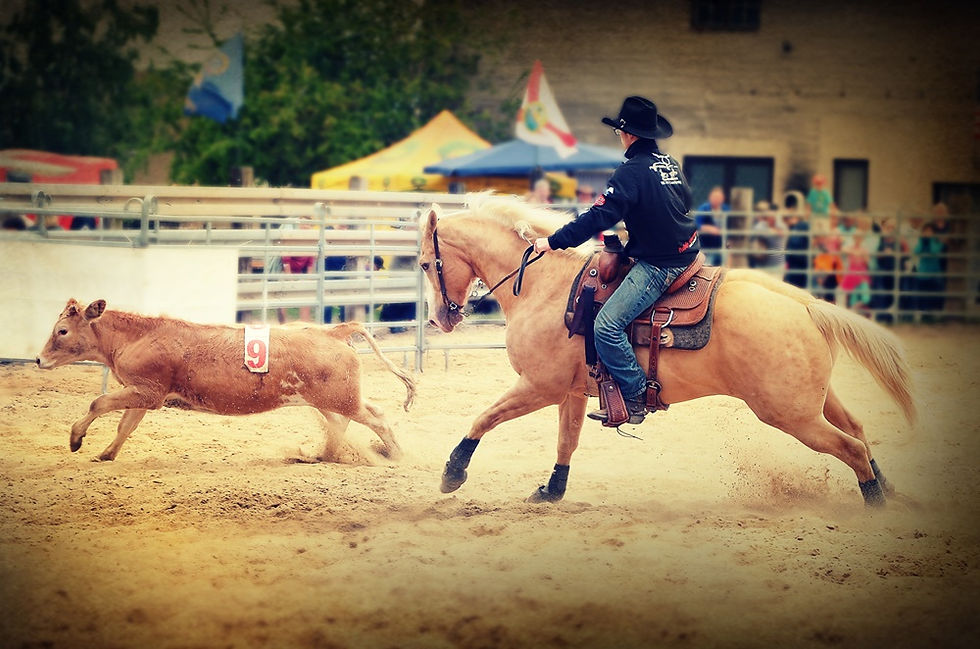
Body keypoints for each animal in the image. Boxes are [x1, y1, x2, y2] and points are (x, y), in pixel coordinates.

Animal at [416, 193, 915, 508]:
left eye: (423, 263)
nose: (439, 319)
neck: (547, 288)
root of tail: (806, 304)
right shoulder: (572, 391)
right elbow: (566, 440)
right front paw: (551, 491)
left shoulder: (539, 385)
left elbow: (484, 417)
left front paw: (452, 473)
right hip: (813, 401)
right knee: (858, 431)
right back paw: (888, 488)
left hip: (790, 413)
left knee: (851, 447)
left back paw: (875, 505)